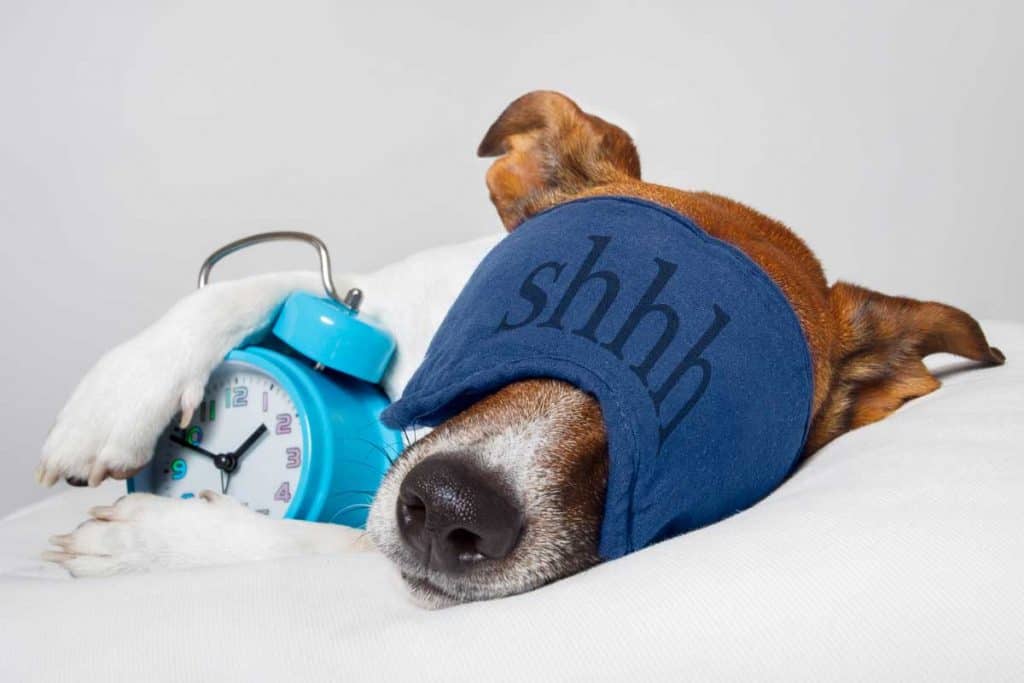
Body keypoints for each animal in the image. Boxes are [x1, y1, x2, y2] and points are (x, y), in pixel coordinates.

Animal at [37, 92, 999, 610]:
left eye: (705, 418)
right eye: (516, 305)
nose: (452, 504)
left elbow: (329, 545)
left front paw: (160, 540)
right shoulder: (385, 292)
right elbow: (267, 279)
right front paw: (113, 402)